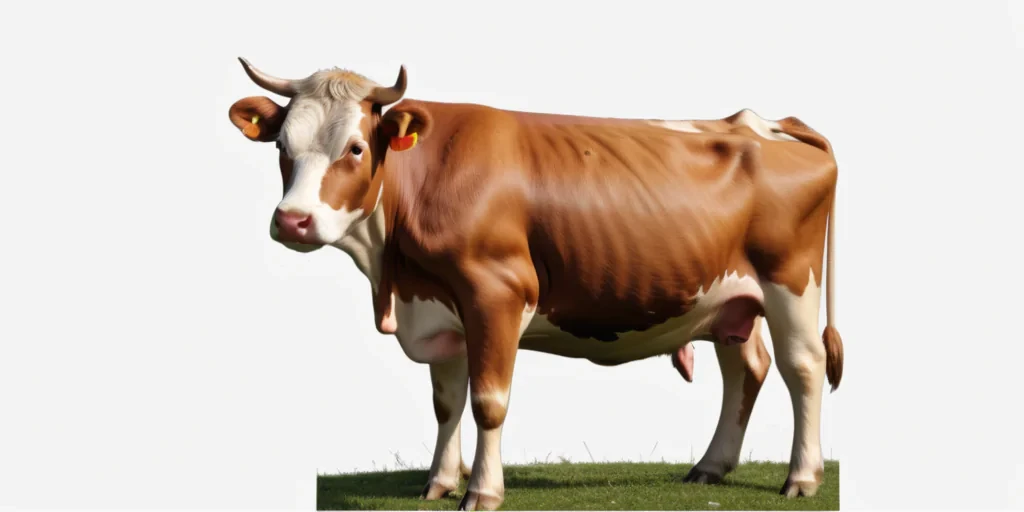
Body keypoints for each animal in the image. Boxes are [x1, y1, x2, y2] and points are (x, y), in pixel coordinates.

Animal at [227, 58, 843, 510]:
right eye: (282, 149)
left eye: (355, 148)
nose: (292, 221)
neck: (393, 273)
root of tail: (761, 121)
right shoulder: (440, 305)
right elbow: (446, 402)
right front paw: (437, 483)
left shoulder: (494, 293)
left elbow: (488, 402)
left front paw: (481, 491)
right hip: (731, 299)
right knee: (747, 368)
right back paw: (710, 467)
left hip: (790, 283)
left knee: (803, 367)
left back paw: (802, 477)